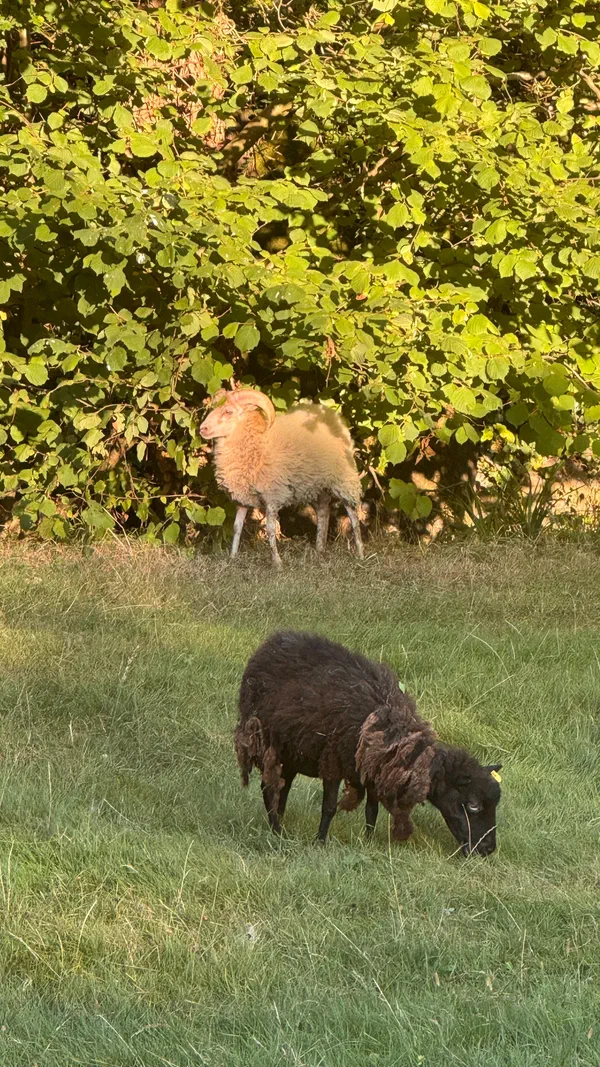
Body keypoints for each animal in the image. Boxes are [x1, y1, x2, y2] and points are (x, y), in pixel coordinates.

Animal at [199, 386, 364, 566]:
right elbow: (236, 527)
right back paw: (320, 549)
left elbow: (270, 529)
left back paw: (360, 552)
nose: (202, 429)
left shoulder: (272, 495)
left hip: (344, 479)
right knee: (323, 512)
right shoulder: (242, 498)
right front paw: (233, 557)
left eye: (228, 411)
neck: (257, 444)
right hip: (315, 486)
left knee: (353, 515)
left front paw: (277, 562)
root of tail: (331, 415)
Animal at [235, 631, 502, 856]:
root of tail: (268, 644)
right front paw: (320, 842)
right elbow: (329, 807)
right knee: (269, 788)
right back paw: (276, 831)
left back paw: (280, 824)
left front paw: (368, 840)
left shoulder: (373, 769)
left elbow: (371, 810)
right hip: (269, 744)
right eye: (473, 805)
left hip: (292, 752)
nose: (488, 849)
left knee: (282, 788)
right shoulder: (332, 762)